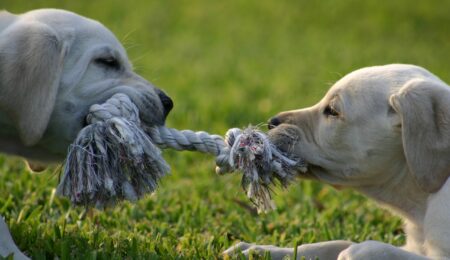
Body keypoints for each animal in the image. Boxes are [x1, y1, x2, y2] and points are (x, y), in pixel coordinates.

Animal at [227, 64, 450, 258]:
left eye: (333, 111)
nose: (272, 122)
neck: (420, 207)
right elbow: (331, 244)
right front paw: (259, 250)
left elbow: (367, 248)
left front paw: (355, 252)